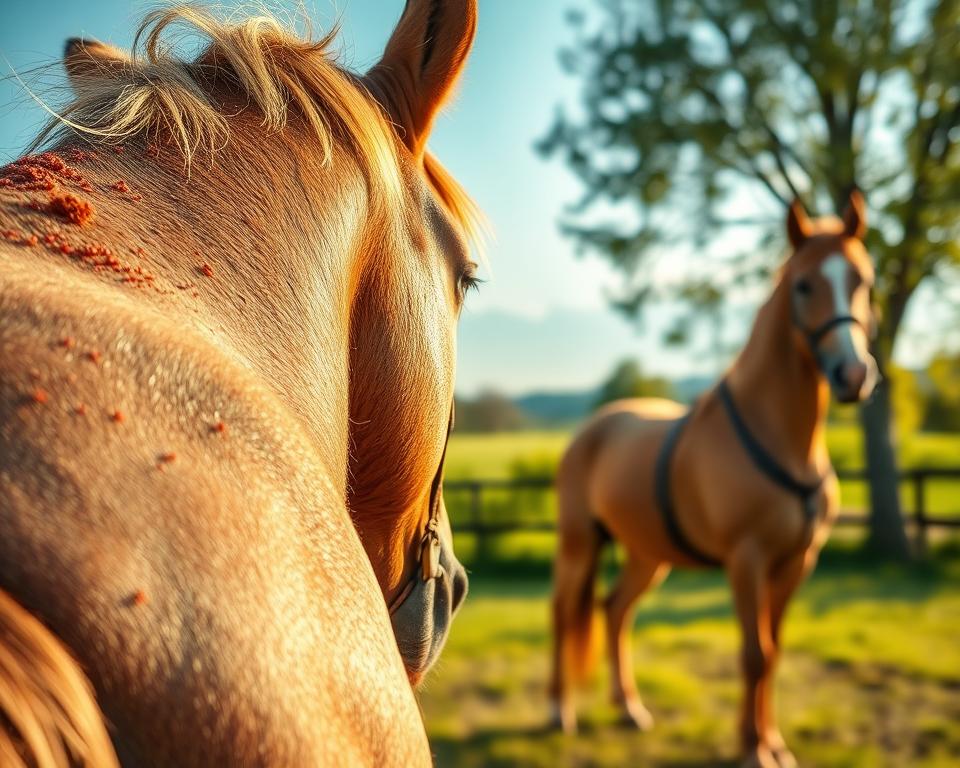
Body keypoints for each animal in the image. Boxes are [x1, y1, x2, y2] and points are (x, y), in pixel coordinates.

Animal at [549, 191, 878, 768]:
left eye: (863, 279)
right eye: (803, 284)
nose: (853, 375)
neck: (780, 437)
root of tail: (594, 426)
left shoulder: (796, 563)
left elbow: (774, 652)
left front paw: (774, 743)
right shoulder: (746, 561)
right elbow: (754, 654)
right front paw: (752, 749)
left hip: (646, 555)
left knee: (615, 611)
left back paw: (629, 708)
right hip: (579, 543)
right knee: (563, 610)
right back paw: (559, 711)